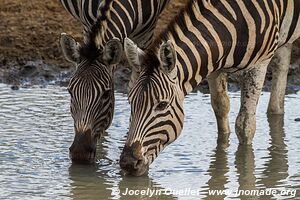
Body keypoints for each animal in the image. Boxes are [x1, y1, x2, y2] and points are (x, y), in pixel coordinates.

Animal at [119, 0, 300, 175]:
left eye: (162, 105)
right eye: (130, 102)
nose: (128, 163)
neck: (232, 23)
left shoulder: (259, 66)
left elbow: (245, 125)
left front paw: (245, 167)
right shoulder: (213, 64)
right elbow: (221, 108)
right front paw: (221, 154)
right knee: (281, 66)